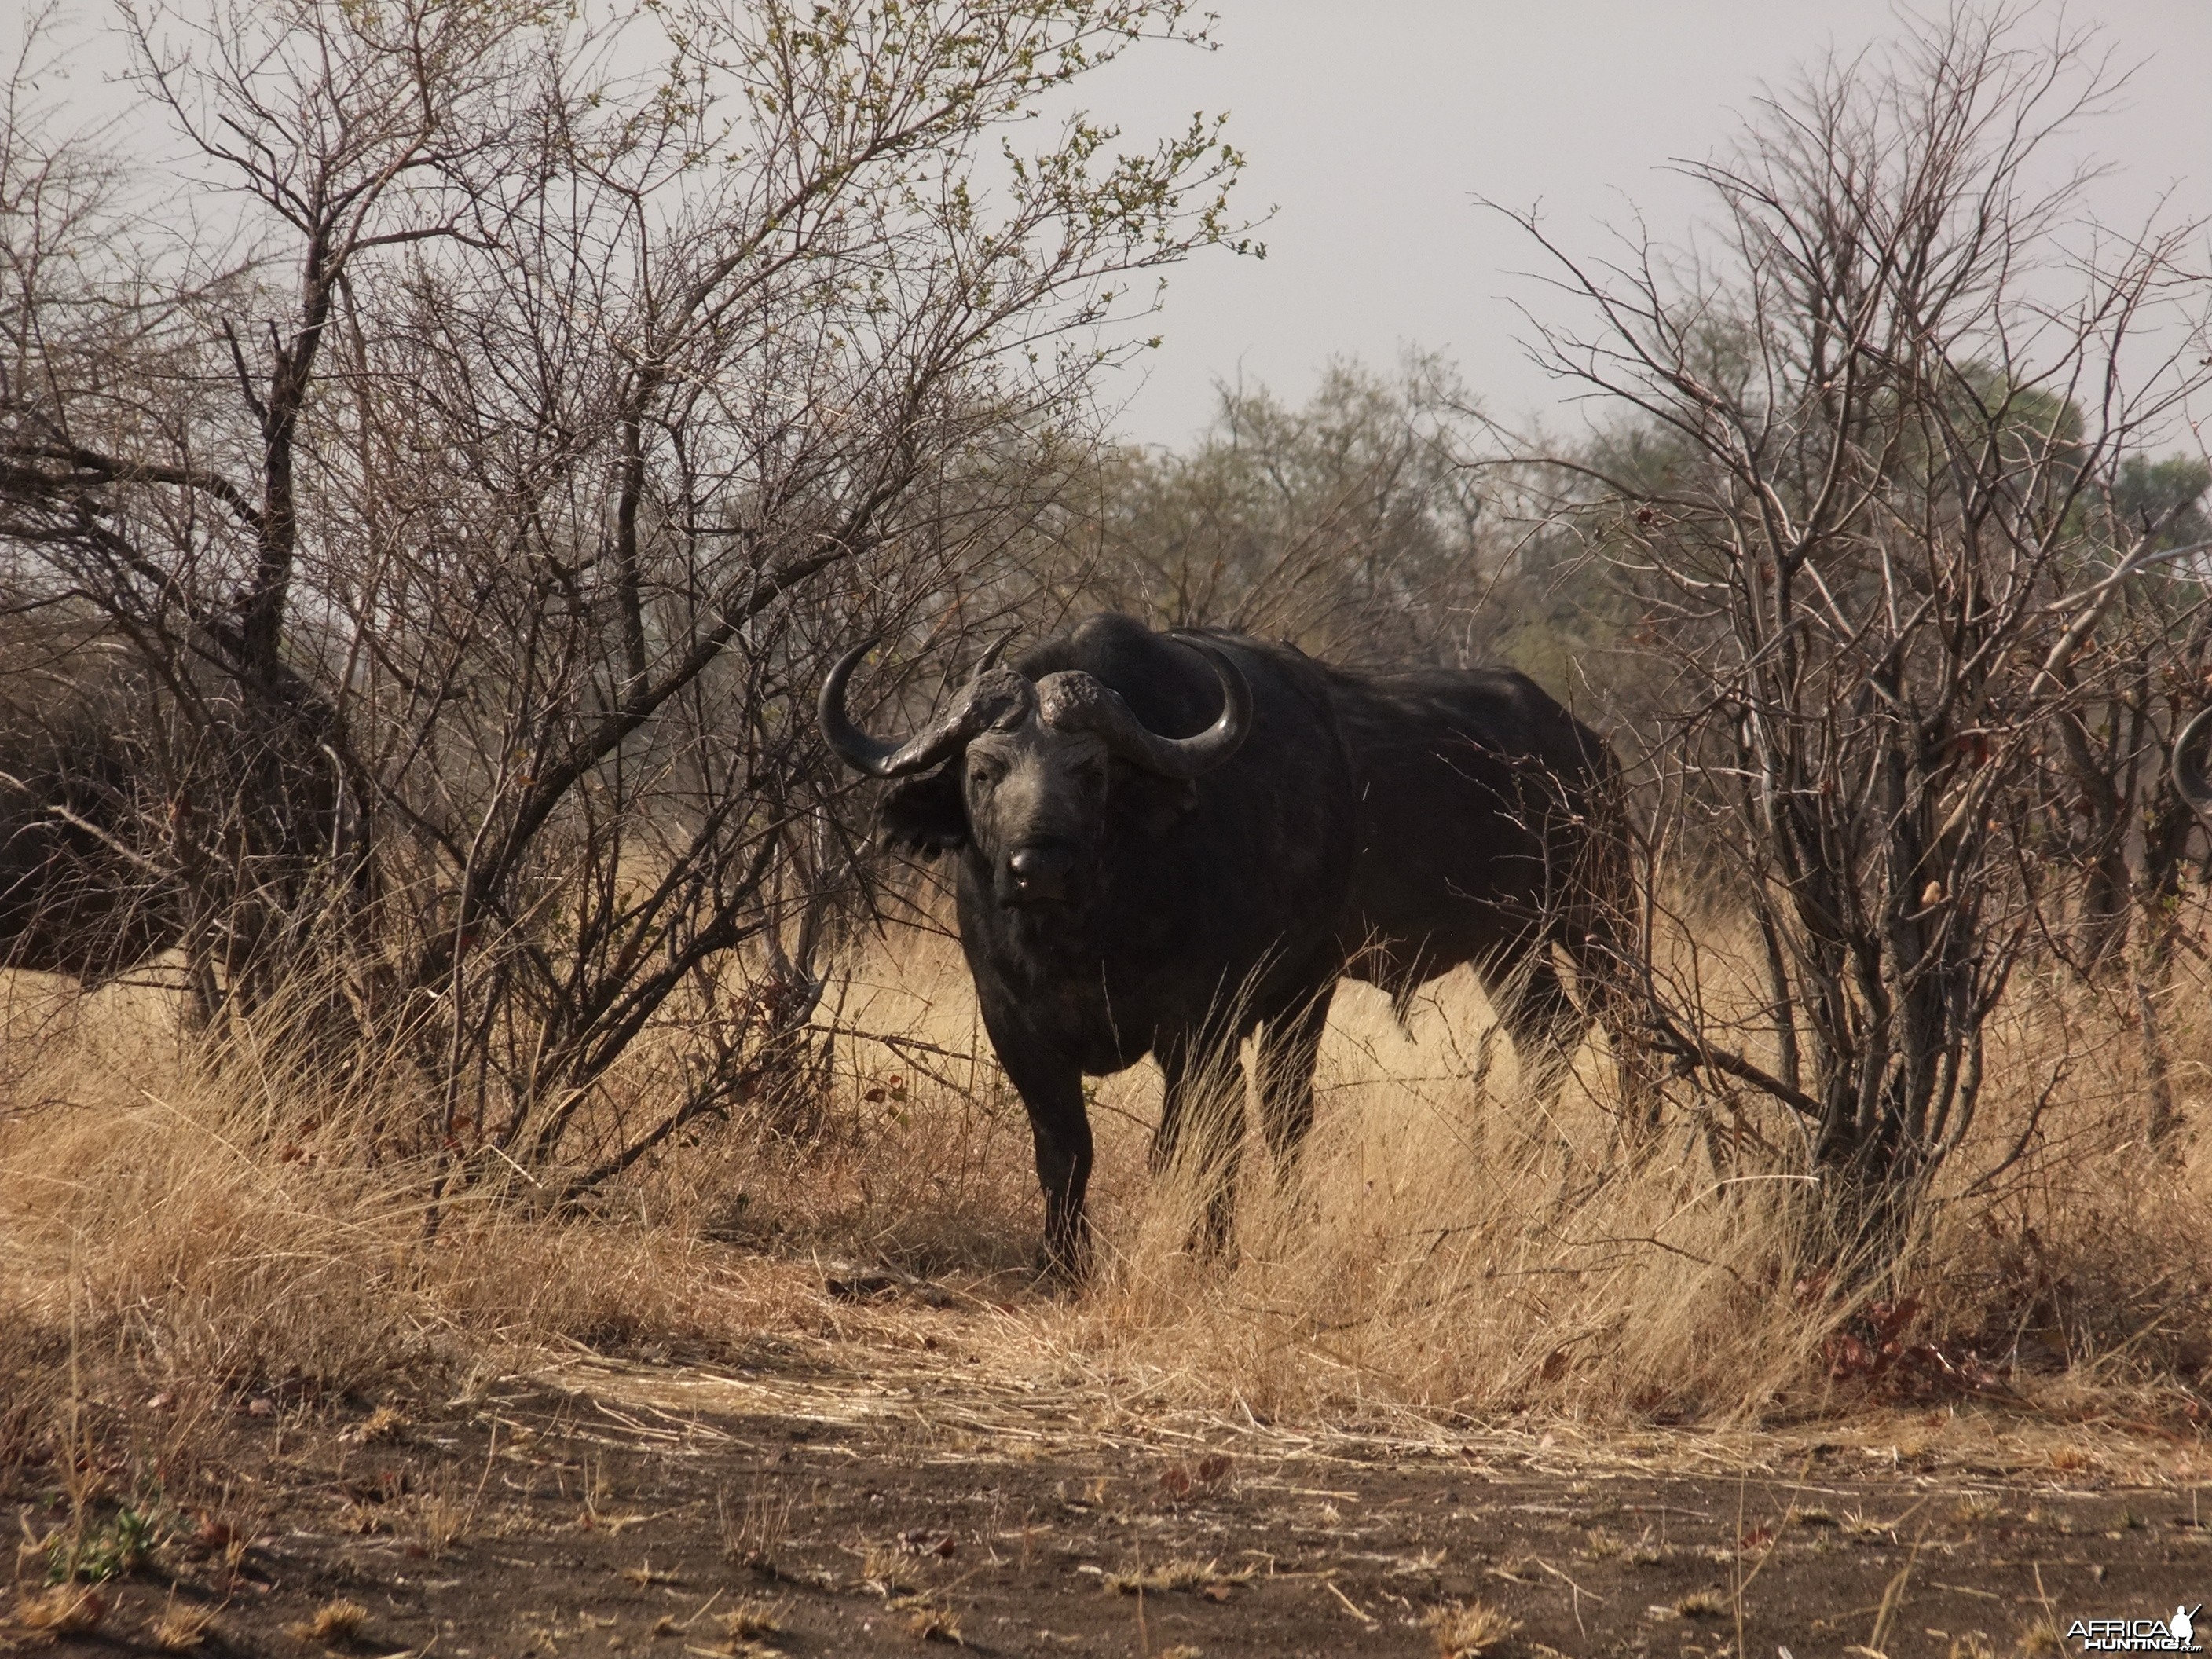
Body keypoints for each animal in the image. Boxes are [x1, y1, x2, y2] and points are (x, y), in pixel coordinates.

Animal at [822, 619, 1636, 1283]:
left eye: (1091, 771)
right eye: (983, 771)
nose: (1038, 868)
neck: (1086, 933)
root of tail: (1585, 748)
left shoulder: (1202, 1025)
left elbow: (1200, 1139)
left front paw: (1205, 1252)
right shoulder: (1014, 1024)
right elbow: (1065, 1146)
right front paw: (1060, 1262)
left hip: (1588, 917)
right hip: (1508, 946)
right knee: (1549, 1031)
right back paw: (1528, 1162)